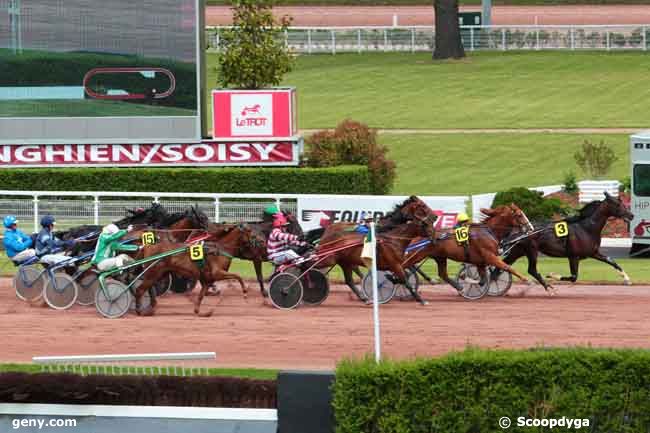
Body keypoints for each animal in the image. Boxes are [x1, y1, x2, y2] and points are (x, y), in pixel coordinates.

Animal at [402, 204, 536, 292]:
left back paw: (458, 286)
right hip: (417, 255)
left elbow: (482, 280)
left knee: (443, 274)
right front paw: (527, 280)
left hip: (440, 257)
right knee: (402, 266)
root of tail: (415, 236)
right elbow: (507, 267)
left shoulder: (480, 262)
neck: (488, 232)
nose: (531, 227)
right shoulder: (490, 256)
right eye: (519, 215)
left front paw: (467, 280)